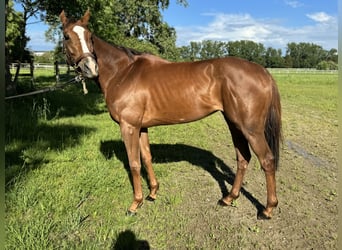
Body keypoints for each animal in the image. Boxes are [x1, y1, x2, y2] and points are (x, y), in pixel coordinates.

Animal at [60, 9, 282, 219]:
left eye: (89, 36)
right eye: (67, 36)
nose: (90, 68)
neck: (122, 72)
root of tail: (263, 71)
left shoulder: (128, 126)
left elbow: (134, 163)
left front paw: (135, 204)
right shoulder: (141, 127)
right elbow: (147, 157)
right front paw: (153, 193)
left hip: (251, 129)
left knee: (267, 160)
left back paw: (267, 209)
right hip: (234, 124)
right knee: (243, 158)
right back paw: (228, 198)